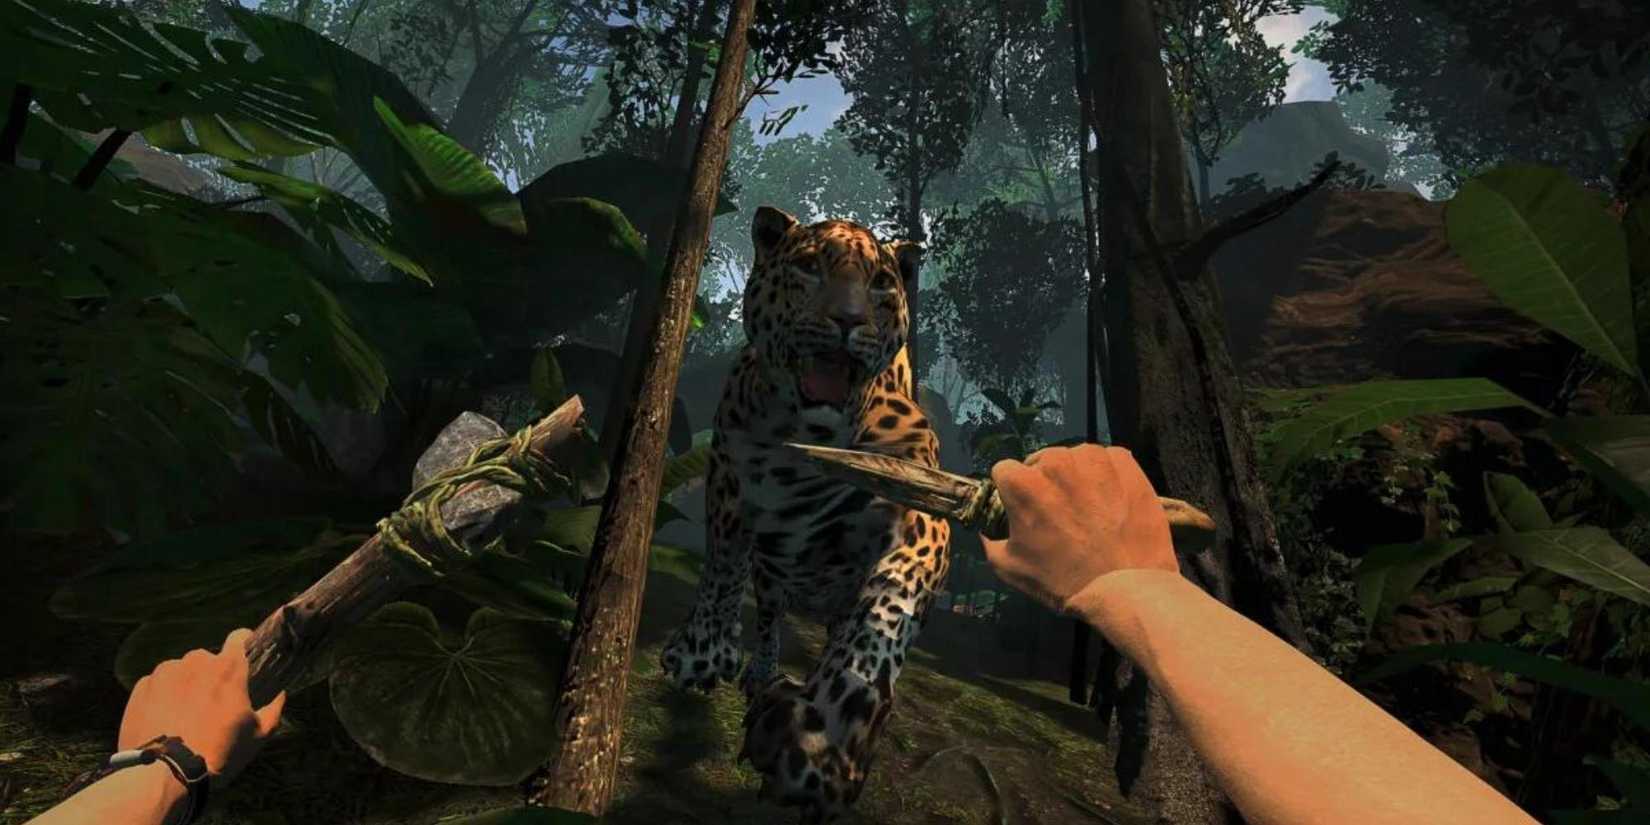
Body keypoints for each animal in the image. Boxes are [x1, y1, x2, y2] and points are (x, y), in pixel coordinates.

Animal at [659, 205, 952, 823]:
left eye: (880, 283)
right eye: (810, 267)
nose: (847, 320)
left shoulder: (921, 511)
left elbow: (880, 622)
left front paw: (821, 743)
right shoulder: (727, 472)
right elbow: (722, 568)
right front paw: (703, 655)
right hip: (773, 583)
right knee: (768, 615)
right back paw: (760, 673)